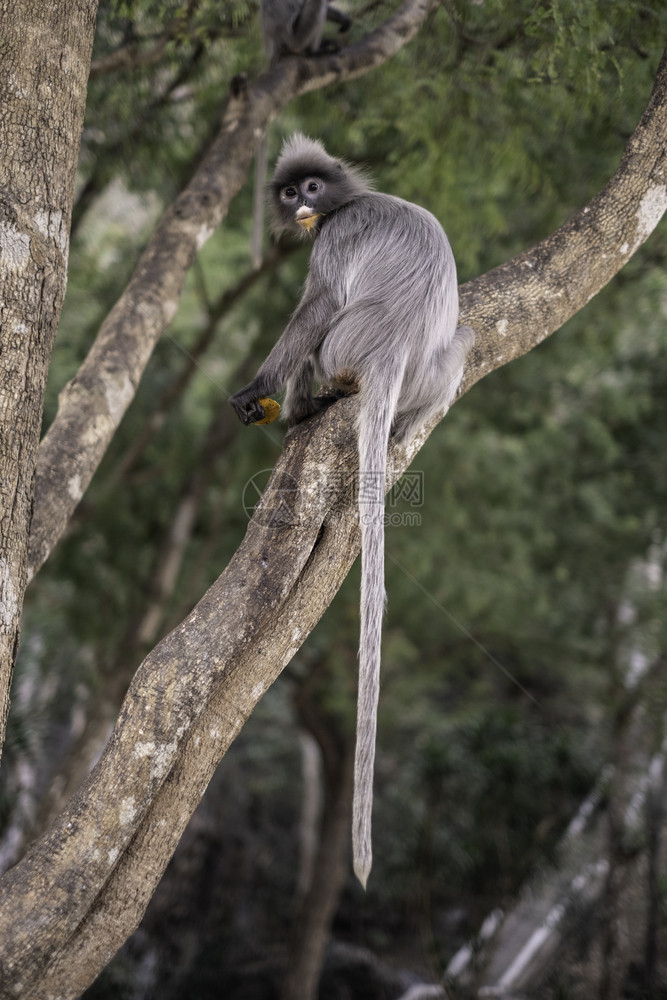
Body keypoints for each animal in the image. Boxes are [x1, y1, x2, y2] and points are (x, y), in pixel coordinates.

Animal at [232, 135, 478, 892]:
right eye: (290, 192)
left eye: (313, 187)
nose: (301, 206)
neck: (346, 201)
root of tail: (390, 350)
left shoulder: (334, 239)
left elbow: (312, 307)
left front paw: (257, 389)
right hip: (433, 369)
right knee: (464, 340)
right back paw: (402, 425)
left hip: (344, 346)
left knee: (322, 329)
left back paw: (303, 406)